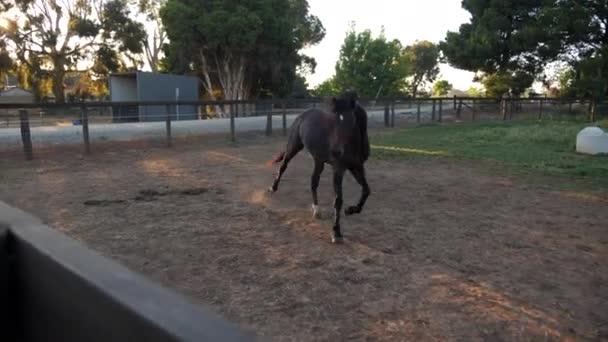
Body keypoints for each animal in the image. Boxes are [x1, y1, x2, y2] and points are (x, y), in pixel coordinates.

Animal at [270, 91, 370, 243]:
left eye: (349, 120)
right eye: (333, 120)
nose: (336, 152)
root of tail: (303, 114)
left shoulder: (357, 167)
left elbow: (366, 191)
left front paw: (350, 210)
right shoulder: (338, 169)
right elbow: (338, 200)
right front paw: (336, 233)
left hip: (319, 160)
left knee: (314, 181)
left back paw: (316, 210)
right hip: (294, 146)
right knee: (283, 166)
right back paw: (273, 188)